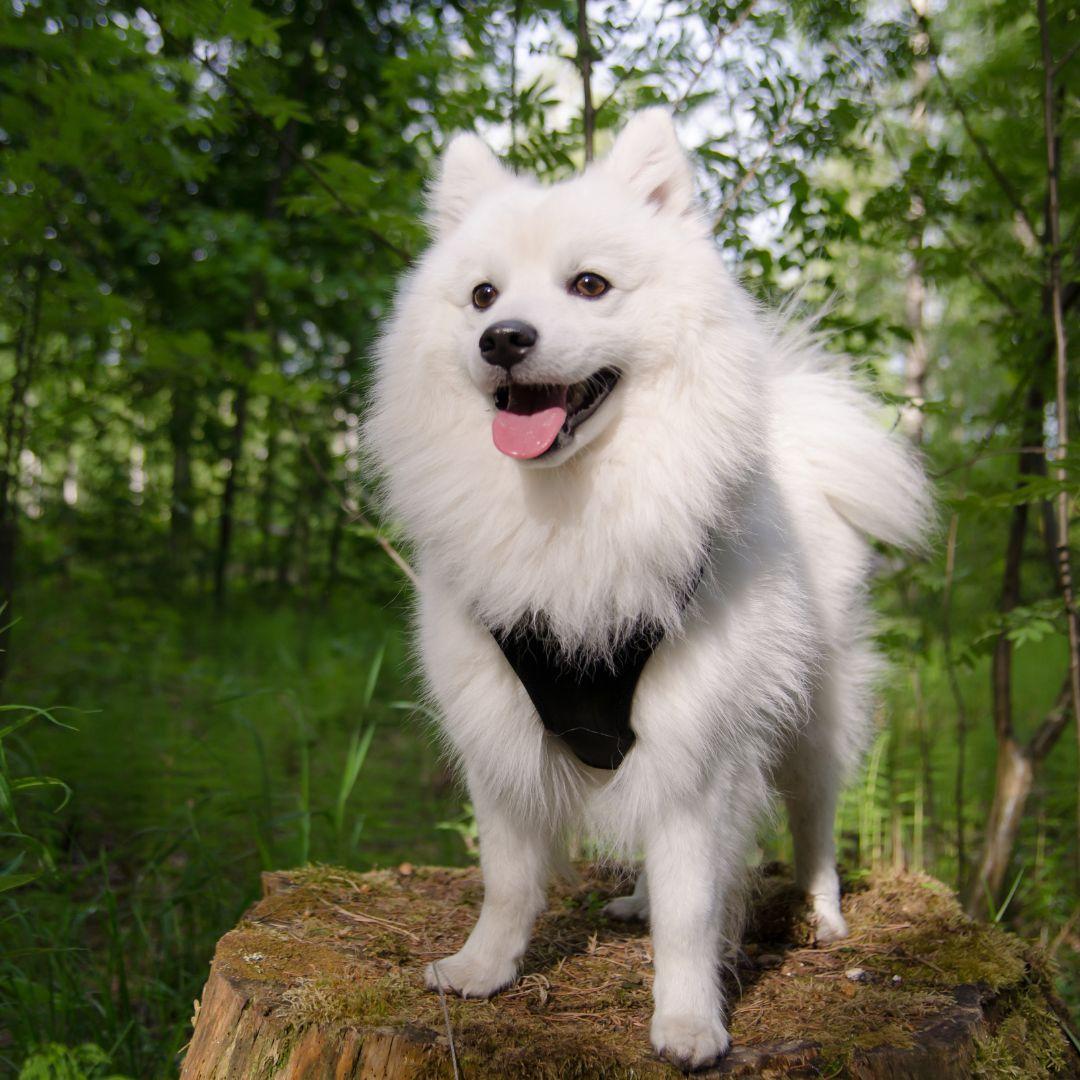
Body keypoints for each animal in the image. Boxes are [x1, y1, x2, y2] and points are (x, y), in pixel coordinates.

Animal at [365, 111, 928, 1071]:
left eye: (589, 285)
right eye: (481, 295)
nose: (503, 337)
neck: (573, 513)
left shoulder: (699, 748)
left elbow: (695, 907)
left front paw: (689, 1021)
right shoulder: (499, 729)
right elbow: (508, 879)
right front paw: (483, 967)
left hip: (814, 720)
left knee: (812, 822)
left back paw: (821, 913)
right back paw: (634, 902)